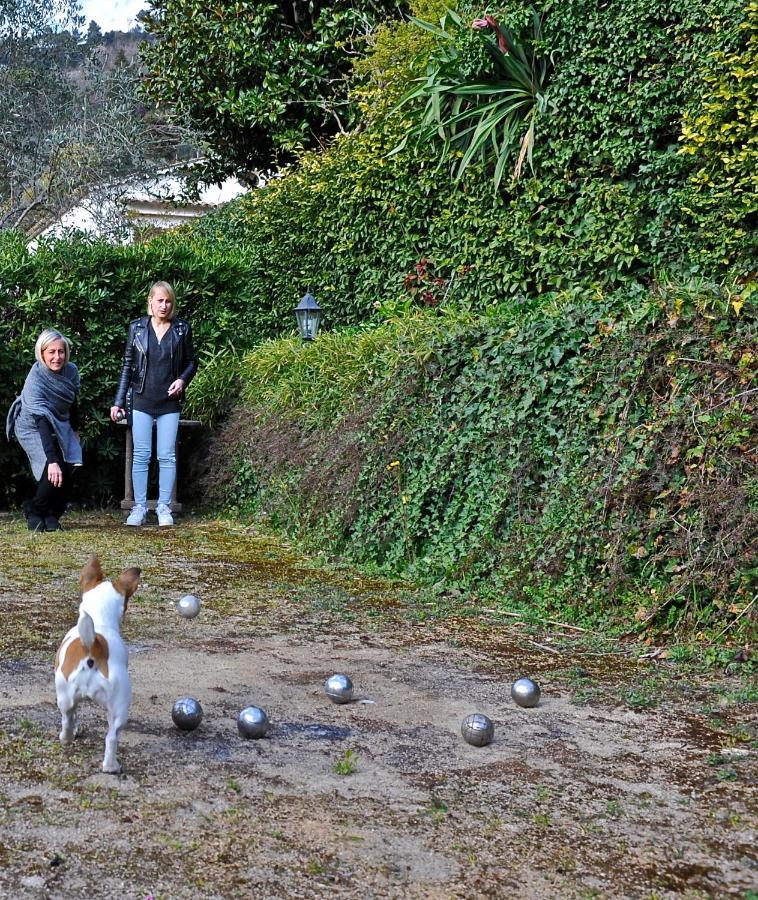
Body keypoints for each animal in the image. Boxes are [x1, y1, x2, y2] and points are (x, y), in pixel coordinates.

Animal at [55, 556, 142, 772]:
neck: (99, 620)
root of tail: (93, 646)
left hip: (67, 698)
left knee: (68, 720)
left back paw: (68, 737)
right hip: (119, 707)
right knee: (111, 737)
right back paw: (111, 766)